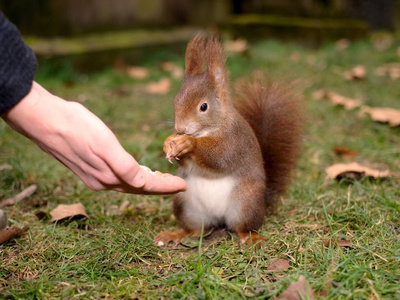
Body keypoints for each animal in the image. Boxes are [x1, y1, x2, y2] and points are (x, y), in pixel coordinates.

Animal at [155, 34, 302, 246]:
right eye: (176, 101)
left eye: (204, 106)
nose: (180, 128)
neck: (207, 132)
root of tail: (218, 218)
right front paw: (170, 143)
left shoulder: (234, 140)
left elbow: (220, 158)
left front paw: (188, 144)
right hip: (186, 205)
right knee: (194, 230)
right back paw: (175, 235)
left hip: (245, 203)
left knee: (242, 227)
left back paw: (250, 237)